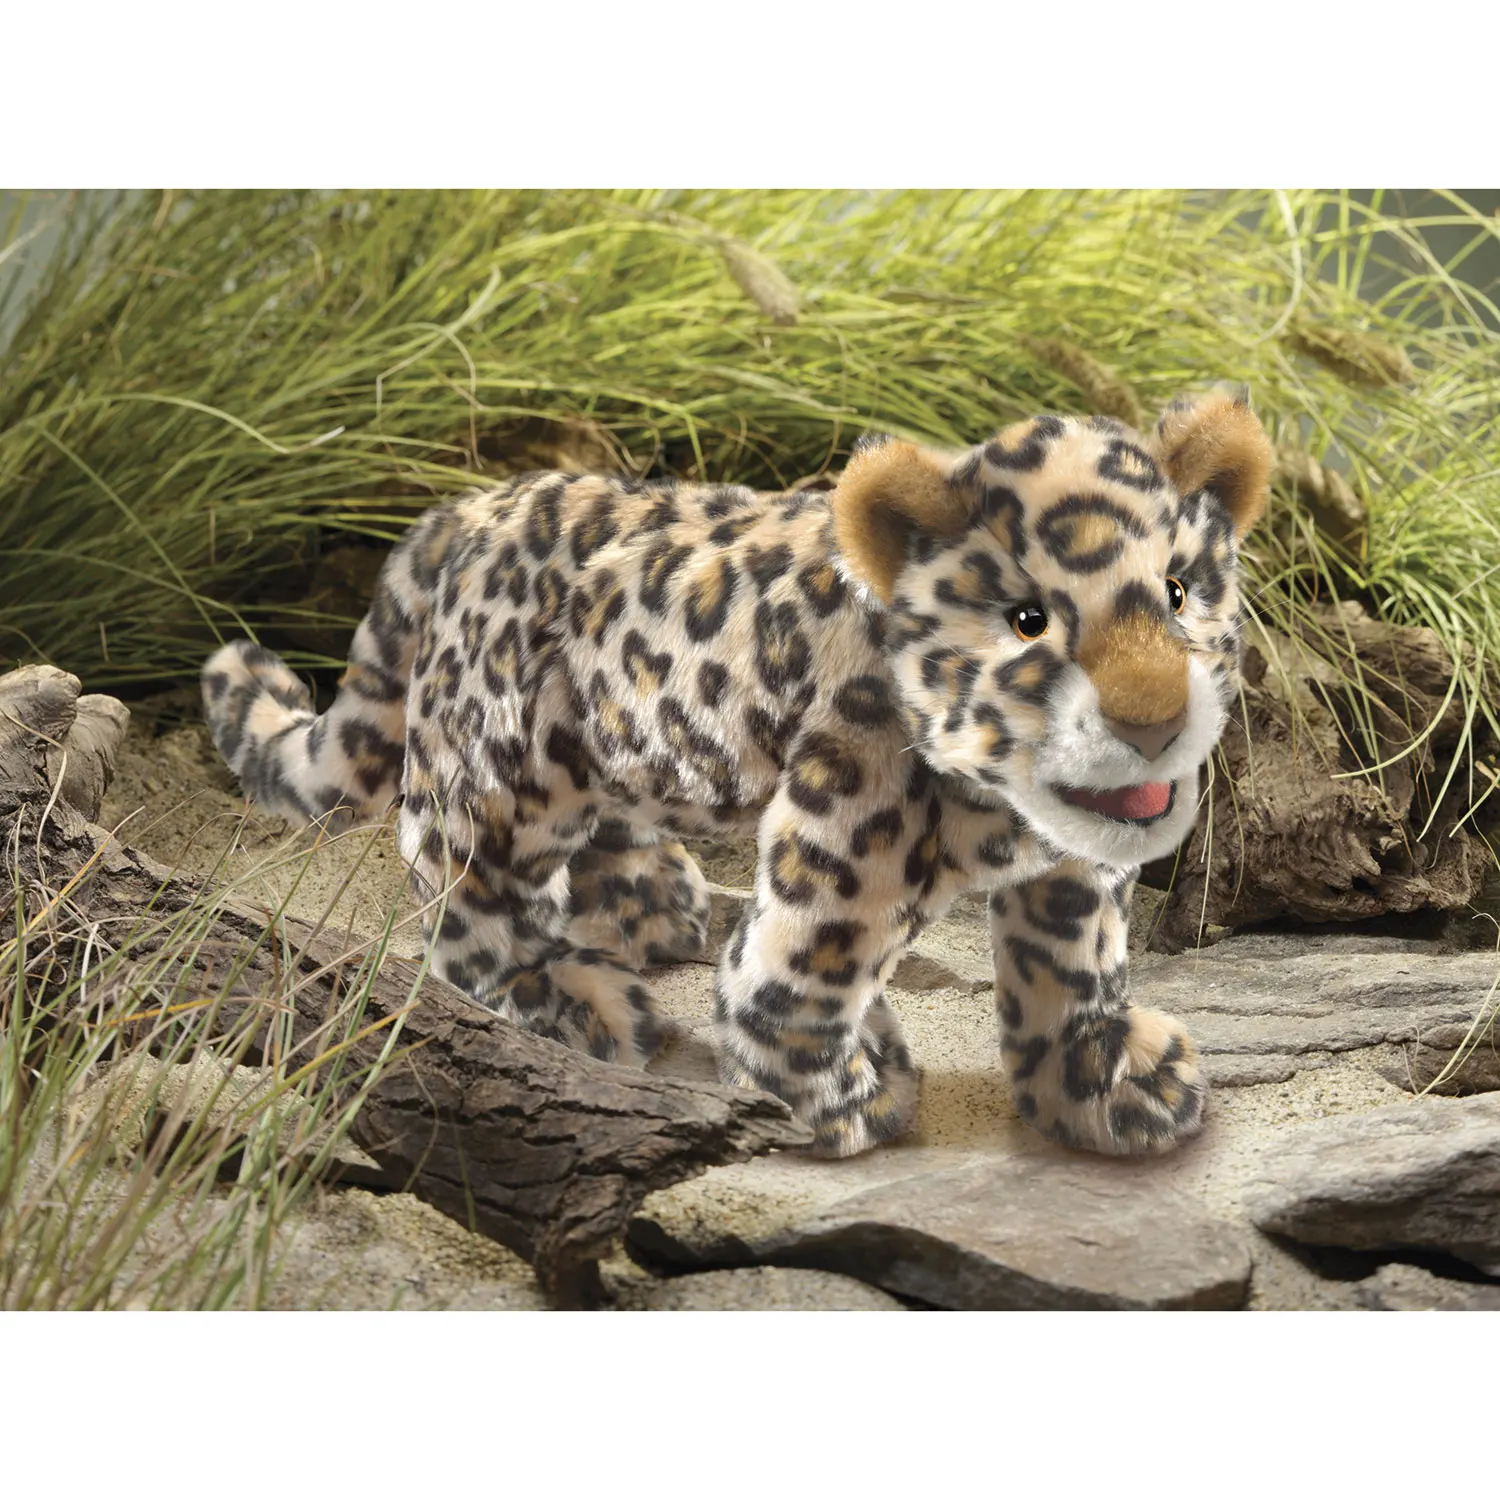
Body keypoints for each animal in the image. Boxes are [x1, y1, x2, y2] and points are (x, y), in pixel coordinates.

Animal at [202, 388, 1272, 1159]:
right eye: (1028, 622)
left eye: (1179, 591)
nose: (1153, 722)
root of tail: (465, 509)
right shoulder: (845, 840)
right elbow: (796, 971)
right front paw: (836, 1099)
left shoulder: (1073, 866)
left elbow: (1071, 963)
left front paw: (1103, 1080)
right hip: (503, 773)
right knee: (461, 892)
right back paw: (578, 1003)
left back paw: (646, 902)